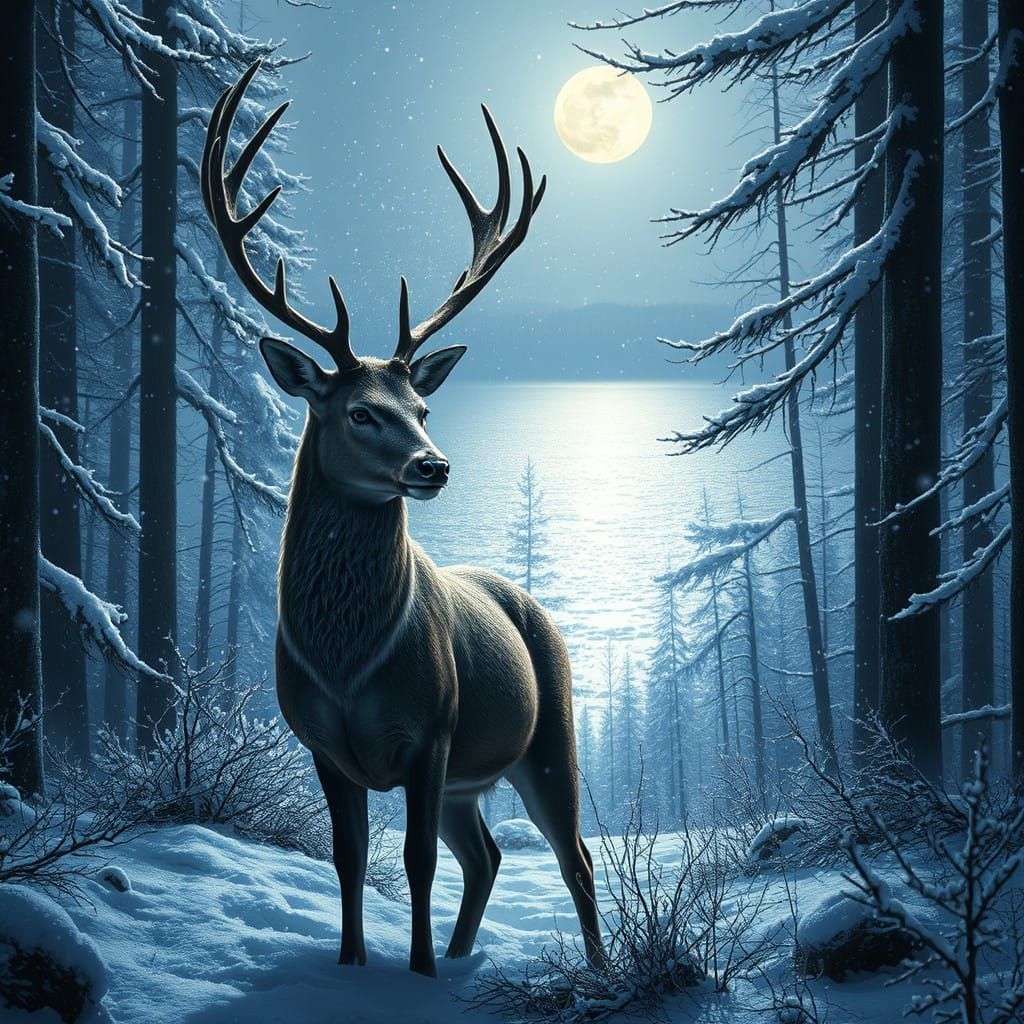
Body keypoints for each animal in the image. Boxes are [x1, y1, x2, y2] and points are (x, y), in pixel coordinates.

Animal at [201, 60, 604, 979]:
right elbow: (349, 858)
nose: (434, 465)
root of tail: (529, 604)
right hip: (469, 780)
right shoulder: (323, 743)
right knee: (487, 855)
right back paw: (459, 960)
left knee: (573, 856)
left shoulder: (433, 730)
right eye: (359, 412)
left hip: (548, 736)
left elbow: (414, 861)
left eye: (421, 406)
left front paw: (413, 975)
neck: (350, 661)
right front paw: (355, 964)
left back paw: (597, 969)